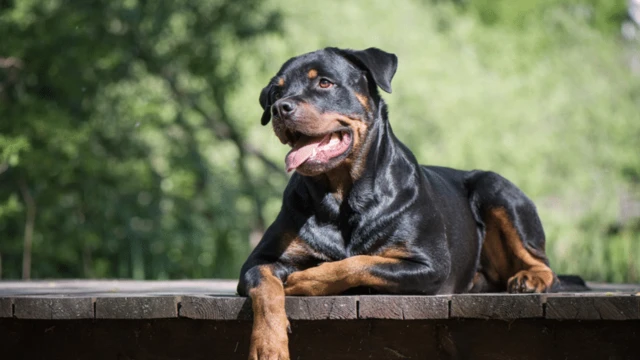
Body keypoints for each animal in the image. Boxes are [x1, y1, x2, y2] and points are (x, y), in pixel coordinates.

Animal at [236, 46, 560, 358]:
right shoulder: (258, 262)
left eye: (324, 83)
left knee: (543, 263)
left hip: (495, 188)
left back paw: (530, 278)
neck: (342, 197)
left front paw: (306, 280)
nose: (280, 108)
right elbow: (266, 291)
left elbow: (357, 263)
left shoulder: (429, 265)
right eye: (276, 92)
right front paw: (268, 346)